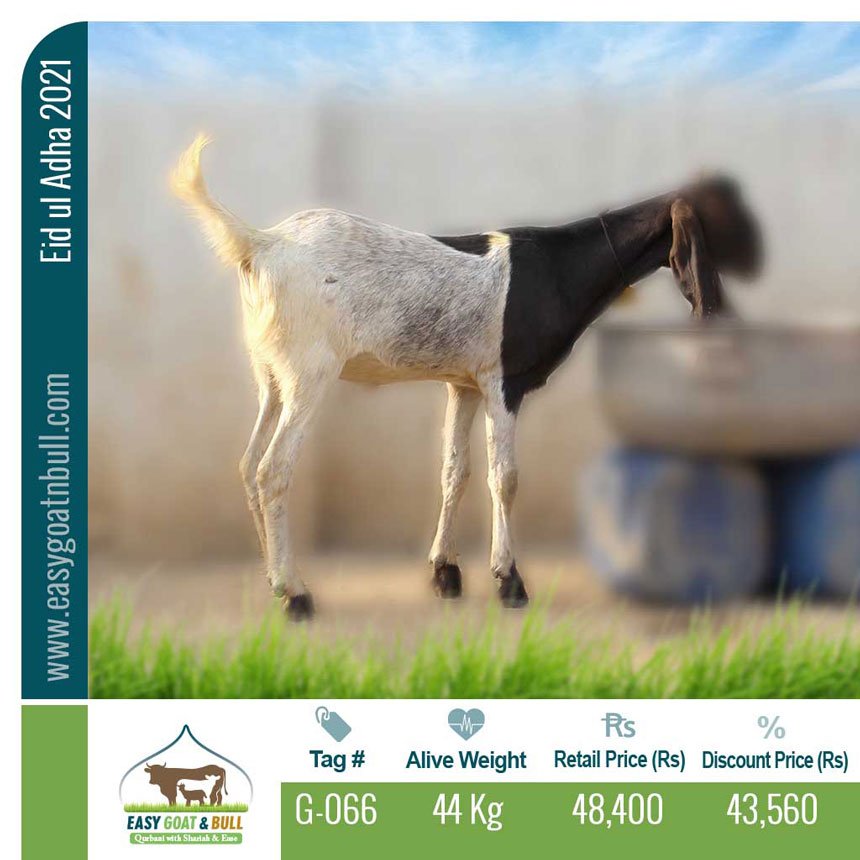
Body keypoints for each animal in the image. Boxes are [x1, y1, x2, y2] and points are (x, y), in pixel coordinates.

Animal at [172, 135, 761, 620]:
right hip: (308, 374)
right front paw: (510, 581)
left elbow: (454, 472)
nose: (759, 258)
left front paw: (446, 574)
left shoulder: (464, 384)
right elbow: (506, 477)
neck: (559, 267)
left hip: (271, 376)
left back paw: (271, 580)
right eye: (728, 216)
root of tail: (263, 243)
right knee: (272, 469)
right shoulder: (504, 381)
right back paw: (295, 593)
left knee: (247, 463)